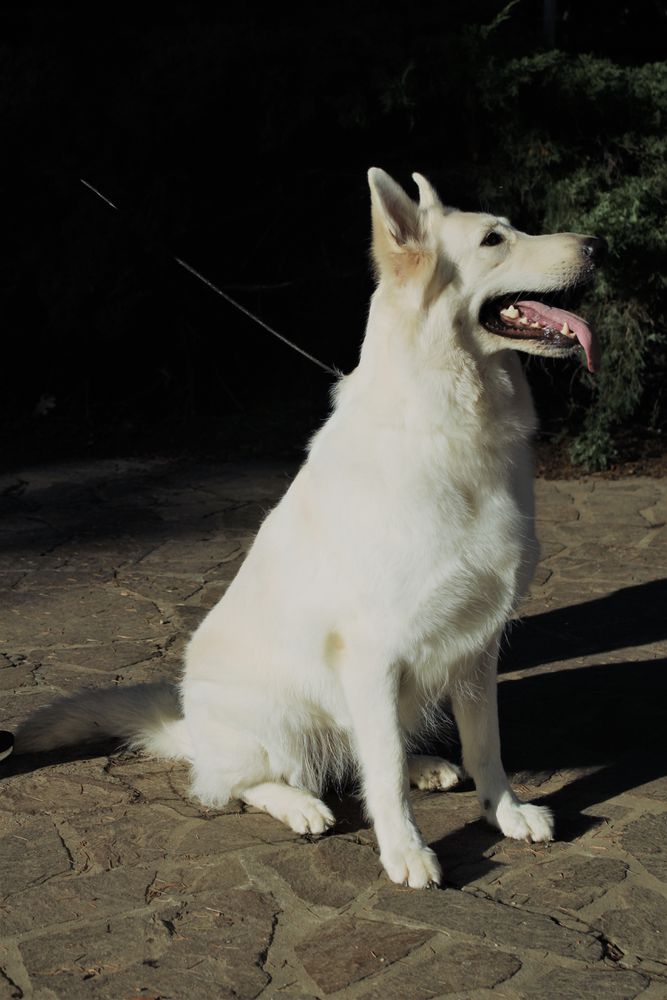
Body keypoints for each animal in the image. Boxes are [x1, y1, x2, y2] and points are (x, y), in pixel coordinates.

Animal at [11, 168, 604, 888]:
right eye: (494, 240)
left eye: (513, 228)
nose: (598, 246)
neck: (448, 420)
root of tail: (192, 728)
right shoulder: (374, 651)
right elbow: (382, 775)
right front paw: (404, 850)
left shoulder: (476, 645)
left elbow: (483, 744)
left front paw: (506, 813)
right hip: (282, 718)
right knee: (241, 783)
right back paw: (298, 804)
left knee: (360, 752)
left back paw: (424, 766)